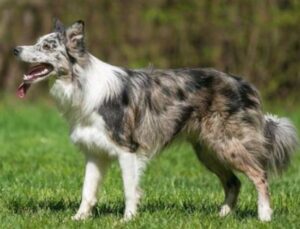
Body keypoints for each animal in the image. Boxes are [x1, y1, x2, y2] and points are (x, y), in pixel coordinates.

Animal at [13, 19, 298, 222]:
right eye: (37, 42)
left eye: (47, 46)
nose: (15, 49)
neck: (80, 83)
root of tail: (244, 83)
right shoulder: (94, 153)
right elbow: (87, 191)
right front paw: (78, 218)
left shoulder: (127, 150)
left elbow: (130, 189)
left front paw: (127, 220)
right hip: (207, 150)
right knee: (234, 182)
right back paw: (223, 216)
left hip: (228, 144)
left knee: (259, 175)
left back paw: (264, 216)